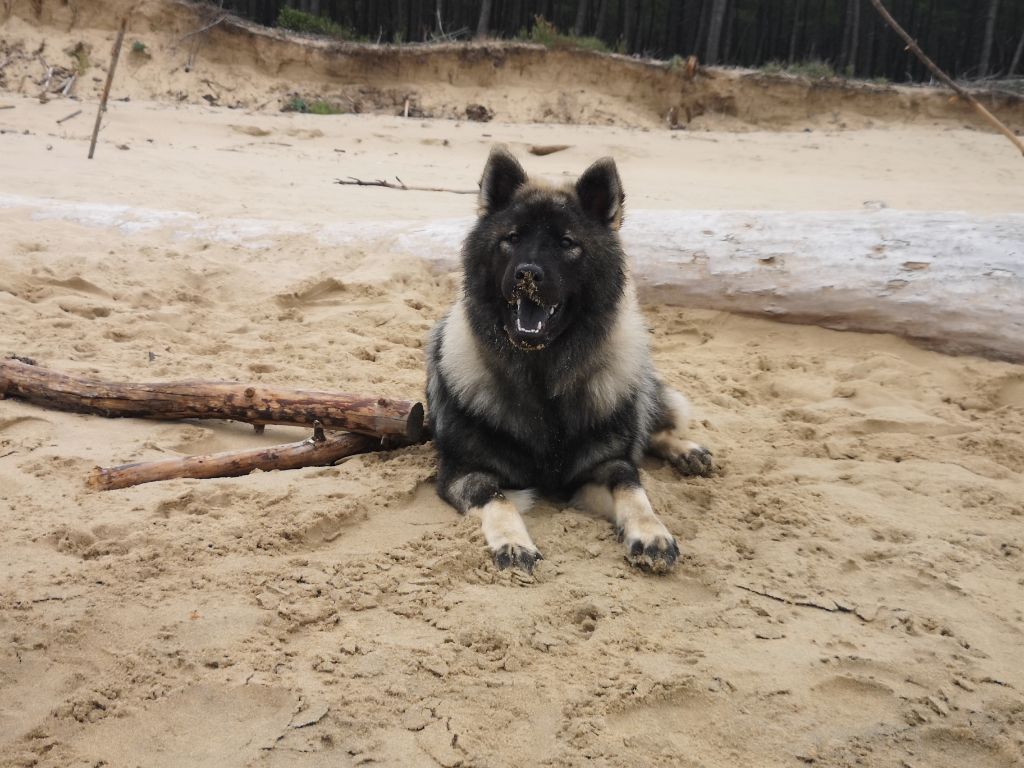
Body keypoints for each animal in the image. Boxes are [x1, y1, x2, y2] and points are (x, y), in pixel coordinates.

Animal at [423, 147, 712, 573]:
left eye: (566, 242)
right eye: (512, 239)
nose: (527, 274)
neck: (542, 375)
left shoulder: (606, 467)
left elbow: (633, 488)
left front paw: (651, 533)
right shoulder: (464, 473)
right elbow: (498, 498)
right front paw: (513, 542)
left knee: (653, 425)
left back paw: (687, 451)